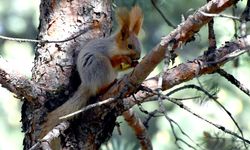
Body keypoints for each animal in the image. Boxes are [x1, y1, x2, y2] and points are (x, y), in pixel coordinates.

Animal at [40, 5, 143, 137]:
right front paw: (125, 59)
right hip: (100, 65)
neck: (115, 47)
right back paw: (110, 83)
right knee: (99, 89)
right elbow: (115, 61)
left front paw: (134, 63)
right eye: (129, 46)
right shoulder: (107, 52)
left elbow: (120, 67)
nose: (138, 56)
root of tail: (87, 84)